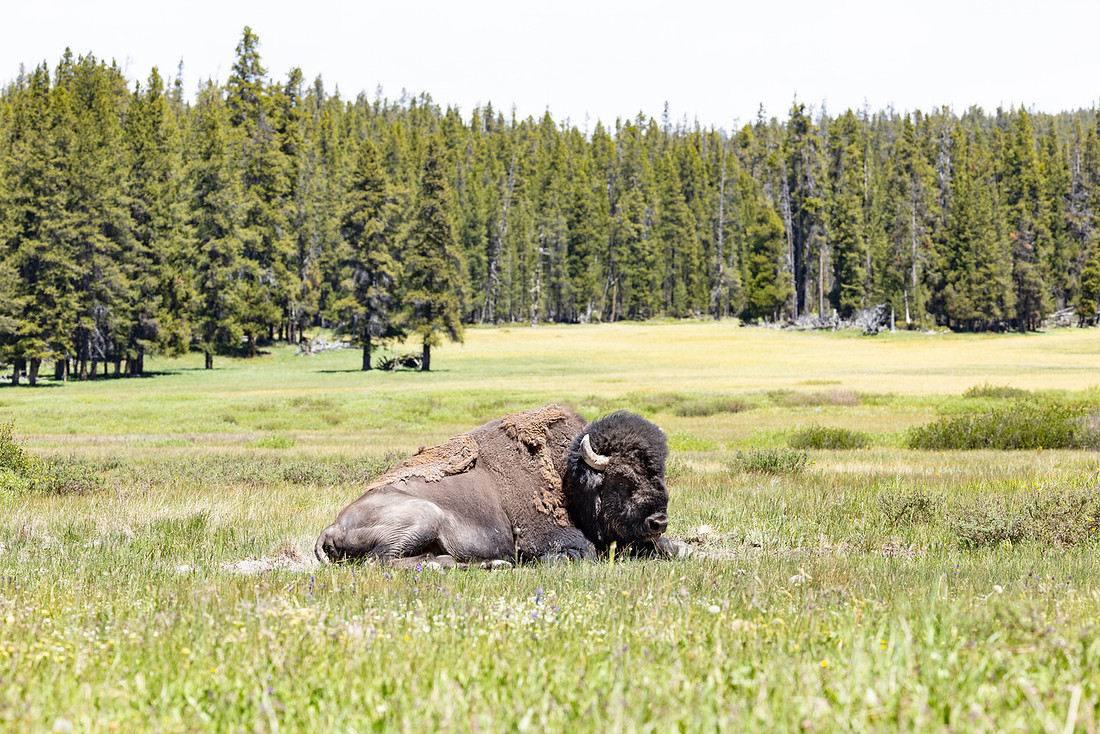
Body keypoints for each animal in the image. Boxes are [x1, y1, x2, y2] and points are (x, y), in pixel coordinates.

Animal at [314, 405, 682, 568]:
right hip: (423, 516)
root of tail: (332, 526)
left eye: (660, 473)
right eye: (624, 478)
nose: (659, 521)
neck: (568, 475)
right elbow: (586, 552)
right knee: (383, 561)